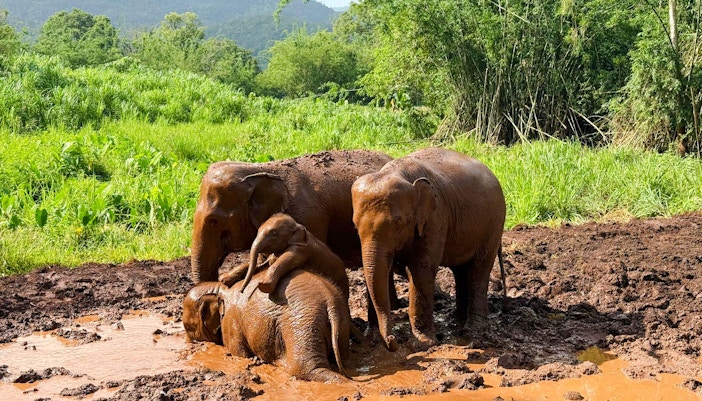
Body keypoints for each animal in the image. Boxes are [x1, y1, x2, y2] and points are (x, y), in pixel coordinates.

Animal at [351, 147, 506, 352]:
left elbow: (421, 270)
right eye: (354, 225)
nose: (392, 340)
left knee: (479, 269)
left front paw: (421, 345)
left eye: (398, 223)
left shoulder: (435, 217)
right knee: (460, 270)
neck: (397, 172)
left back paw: (474, 331)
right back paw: (457, 321)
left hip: (494, 223)